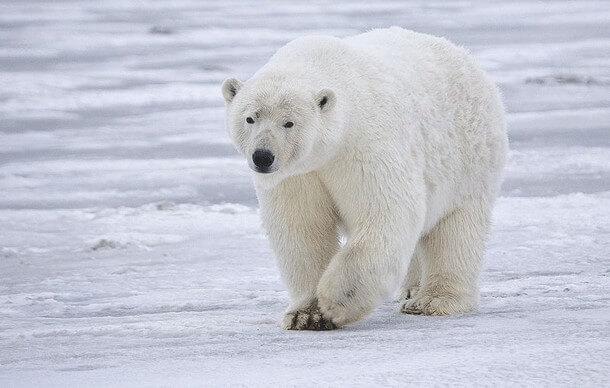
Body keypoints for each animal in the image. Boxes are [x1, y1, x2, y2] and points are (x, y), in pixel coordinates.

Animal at [221, 27, 506, 330]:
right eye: (250, 118)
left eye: (289, 122)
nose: (263, 157)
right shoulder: (298, 175)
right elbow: (302, 229)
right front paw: (305, 315)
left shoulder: (364, 144)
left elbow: (386, 212)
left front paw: (335, 302)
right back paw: (411, 289)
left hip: (469, 160)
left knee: (456, 230)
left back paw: (432, 300)